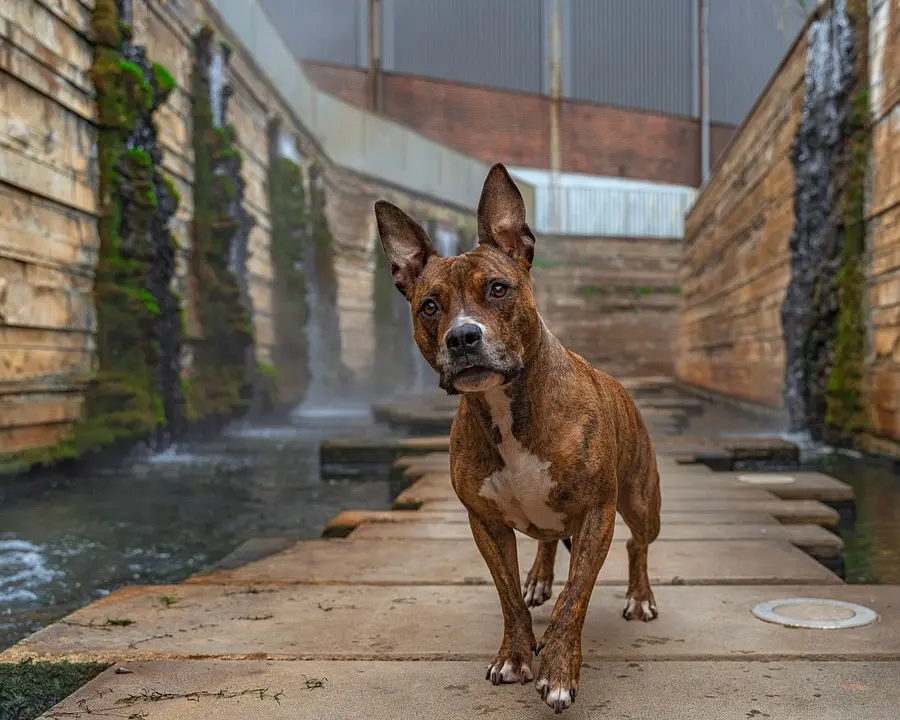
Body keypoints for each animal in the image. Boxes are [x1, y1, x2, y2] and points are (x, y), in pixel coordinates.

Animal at [372, 165, 660, 716]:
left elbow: (575, 598)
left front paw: (558, 670)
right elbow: (506, 596)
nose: (462, 337)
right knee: (548, 543)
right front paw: (515, 656)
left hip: (639, 502)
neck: (507, 406)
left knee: (637, 544)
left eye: (498, 289)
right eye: (429, 306)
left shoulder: (597, 514)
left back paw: (639, 597)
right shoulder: (485, 523)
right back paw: (540, 578)